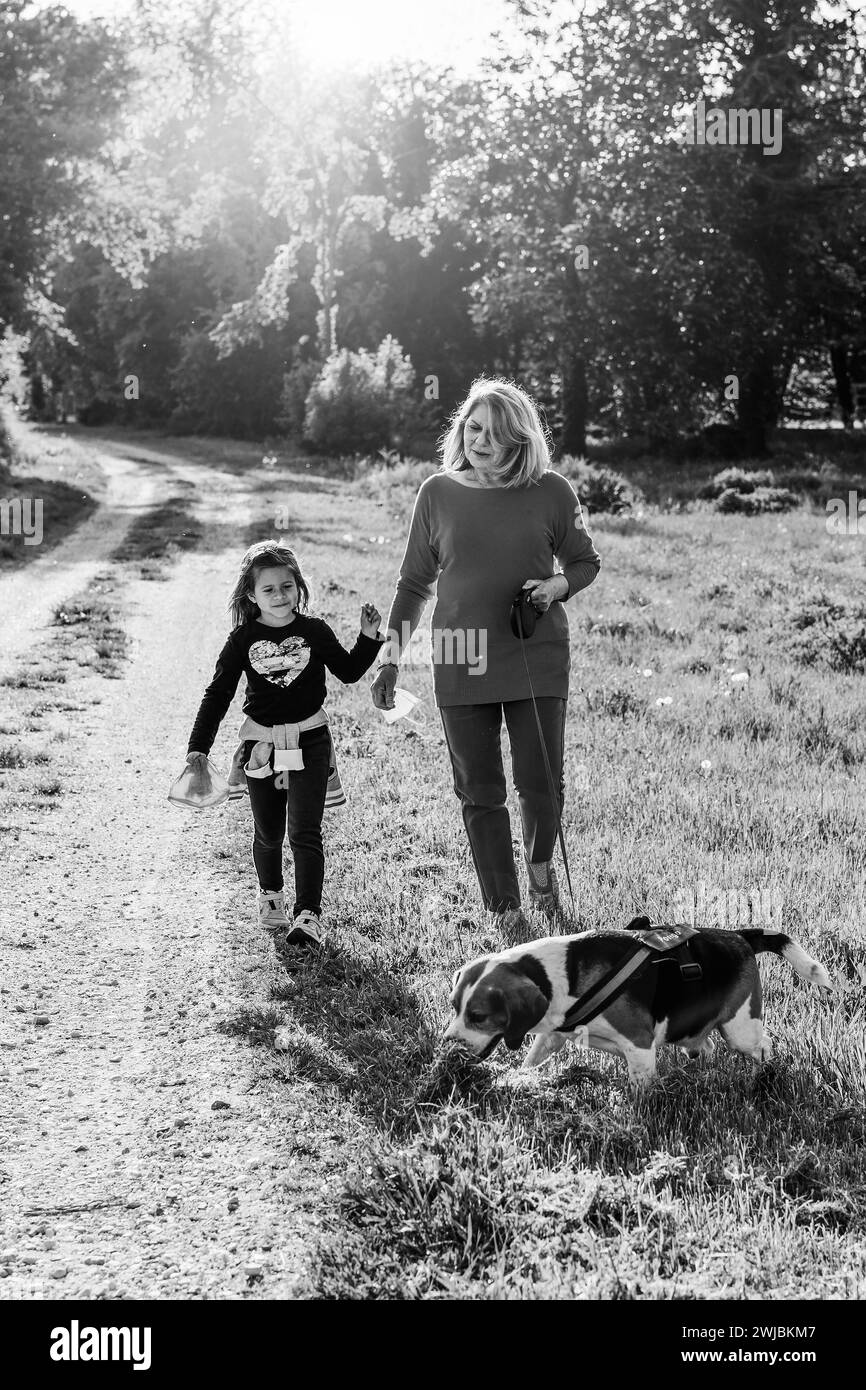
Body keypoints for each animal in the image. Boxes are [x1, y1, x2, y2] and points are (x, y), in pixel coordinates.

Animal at [444, 922, 839, 1084]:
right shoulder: (553, 1034)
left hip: (741, 1028)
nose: (448, 1046)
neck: (559, 972)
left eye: (478, 1016)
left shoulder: (639, 1046)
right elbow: (533, 1057)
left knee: (762, 1047)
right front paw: (521, 1079)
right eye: (453, 1006)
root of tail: (739, 937)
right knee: (707, 1046)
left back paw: (762, 1077)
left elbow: (640, 1092)